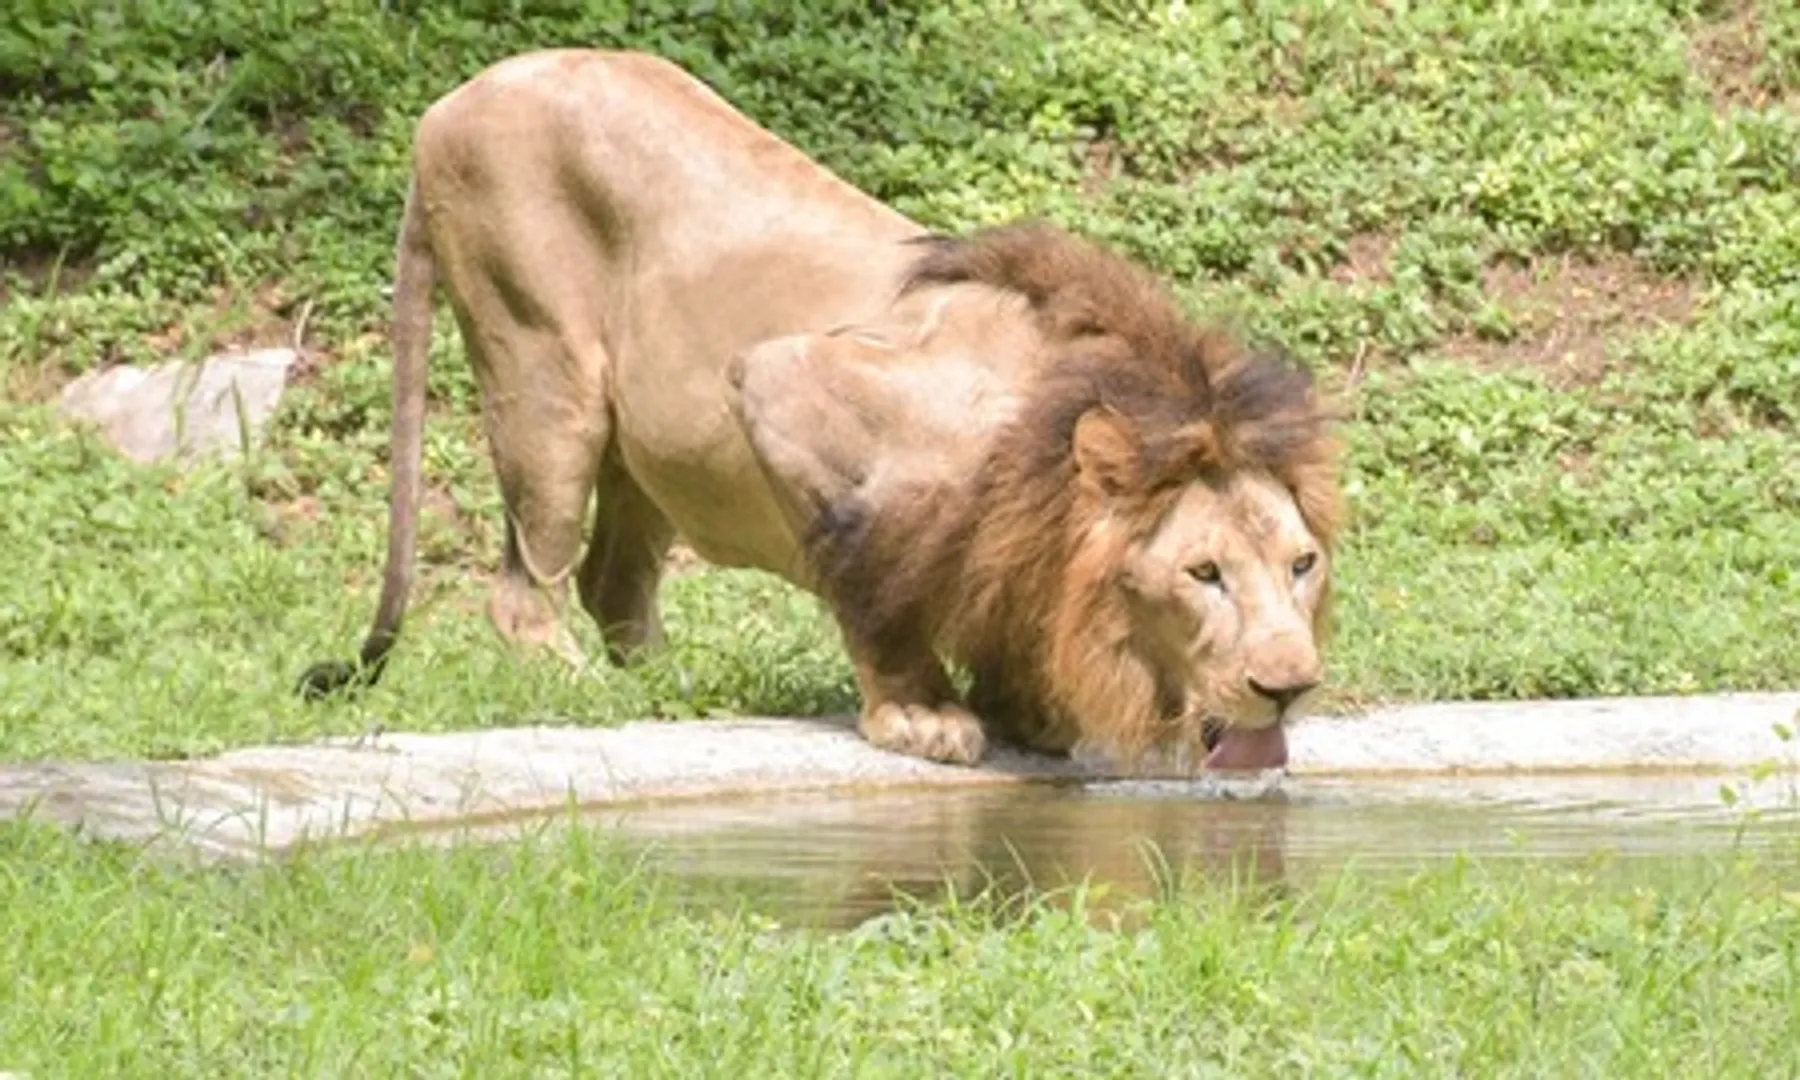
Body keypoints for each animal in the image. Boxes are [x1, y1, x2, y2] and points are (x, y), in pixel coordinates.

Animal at [298, 48, 1344, 774]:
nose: (1288, 688)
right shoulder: (782, 380)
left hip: (646, 448)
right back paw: (580, 689)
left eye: (1302, 564)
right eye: (1203, 573)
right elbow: (878, 591)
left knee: (611, 581)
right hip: (544, 372)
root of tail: (448, 103)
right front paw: (924, 716)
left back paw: (678, 688)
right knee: (525, 588)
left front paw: (1027, 712)